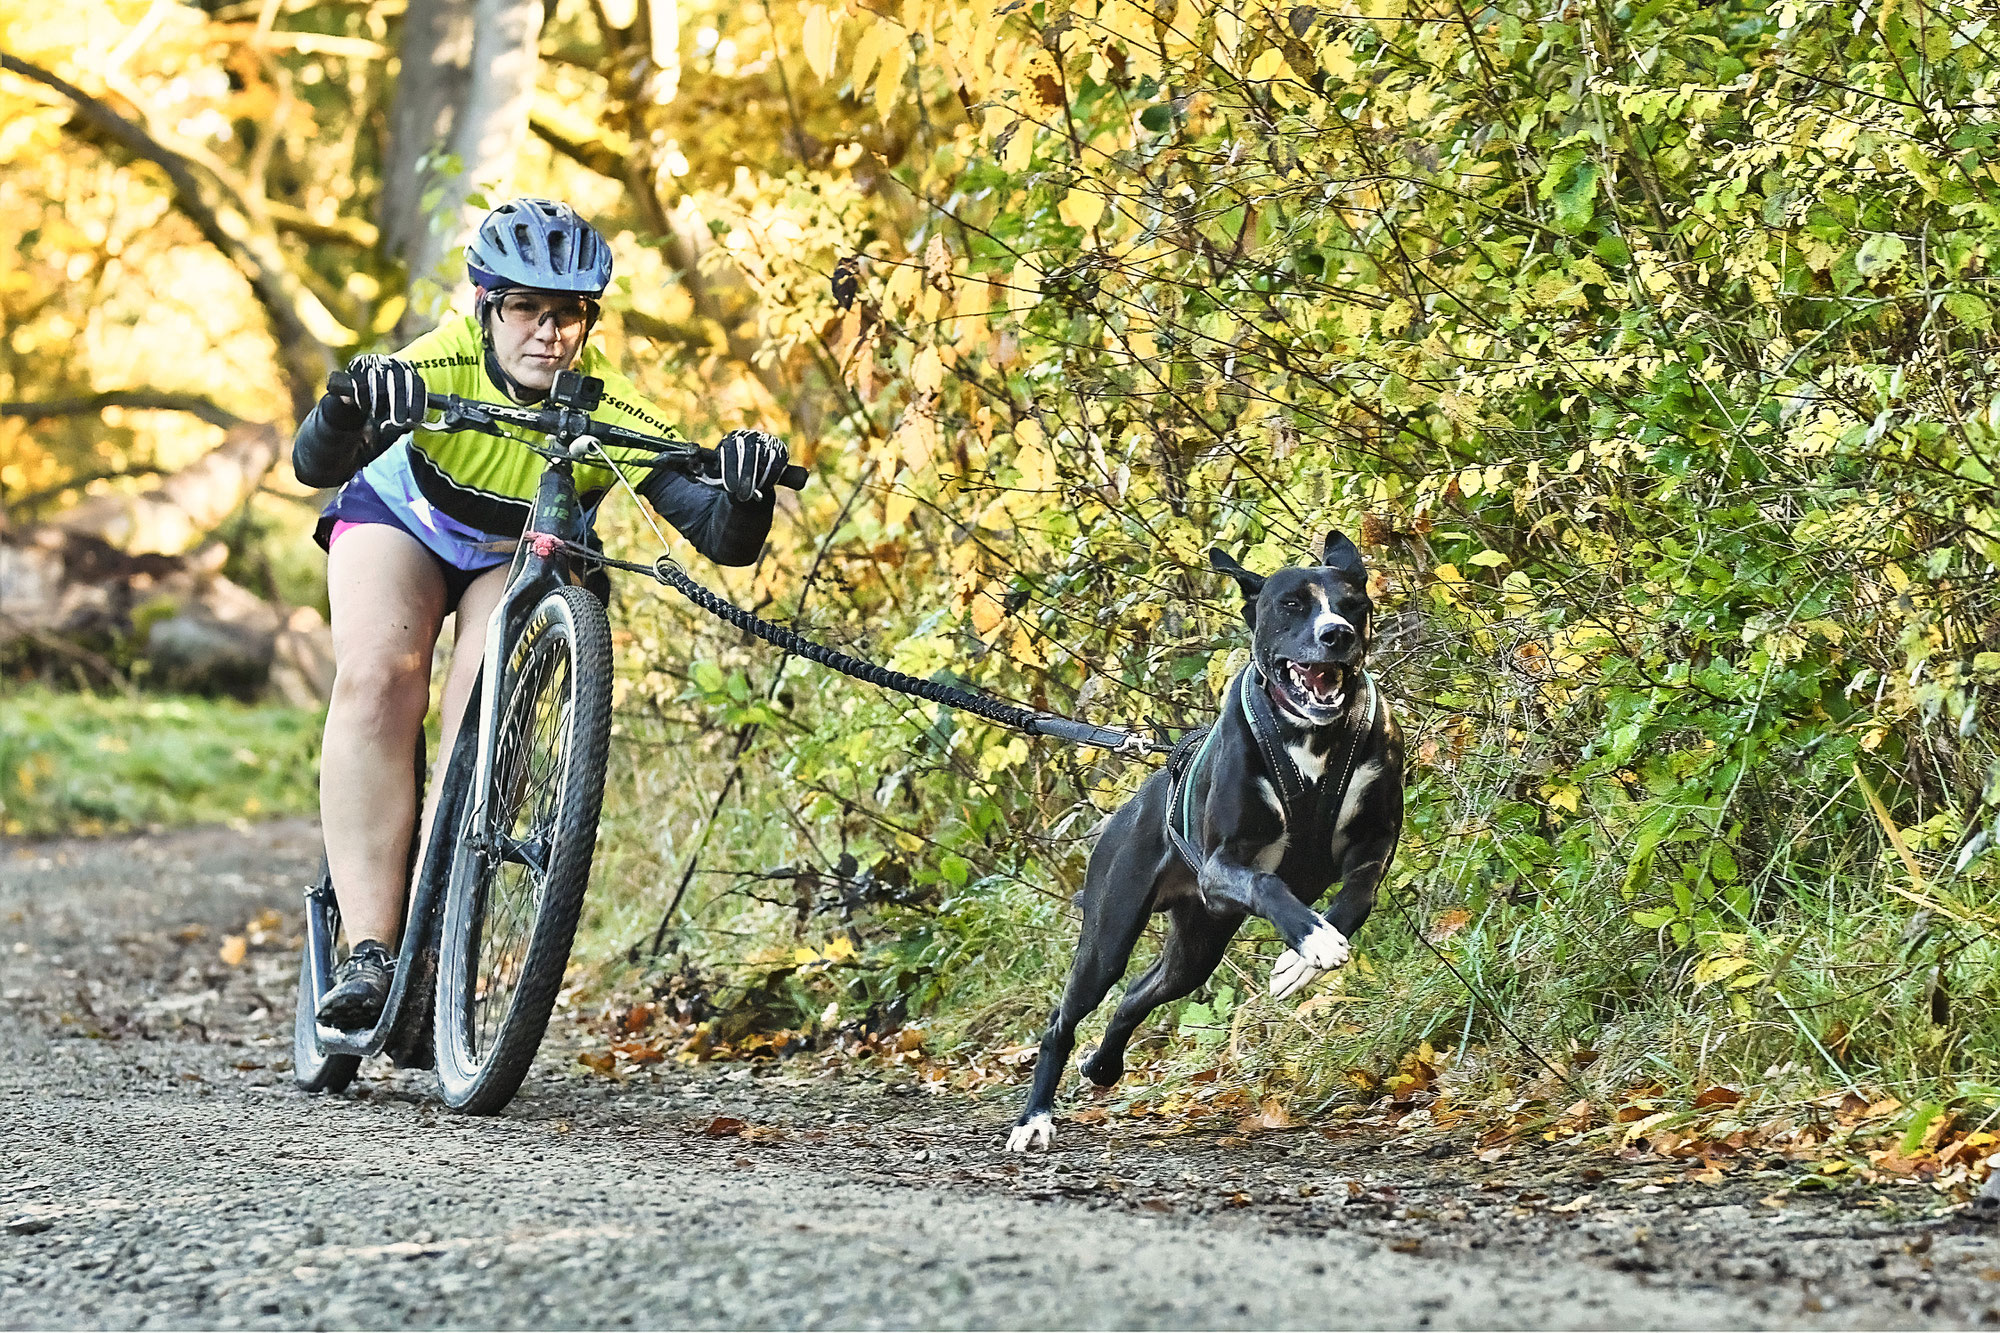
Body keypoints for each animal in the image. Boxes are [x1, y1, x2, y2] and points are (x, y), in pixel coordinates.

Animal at [1008, 536, 1400, 1144]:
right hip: (1109, 937)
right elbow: (1266, 882)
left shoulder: (1376, 841)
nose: (1336, 634)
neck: (1311, 738)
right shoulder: (1222, 866)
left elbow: (1357, 897)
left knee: (1138, 994)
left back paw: (1103, 1065)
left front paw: (1301, 960)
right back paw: (1035, 1119)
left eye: (1353, 603)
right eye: (1291, 605)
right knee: (1065, 1017)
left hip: (1197, 944)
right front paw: (1312, 939)